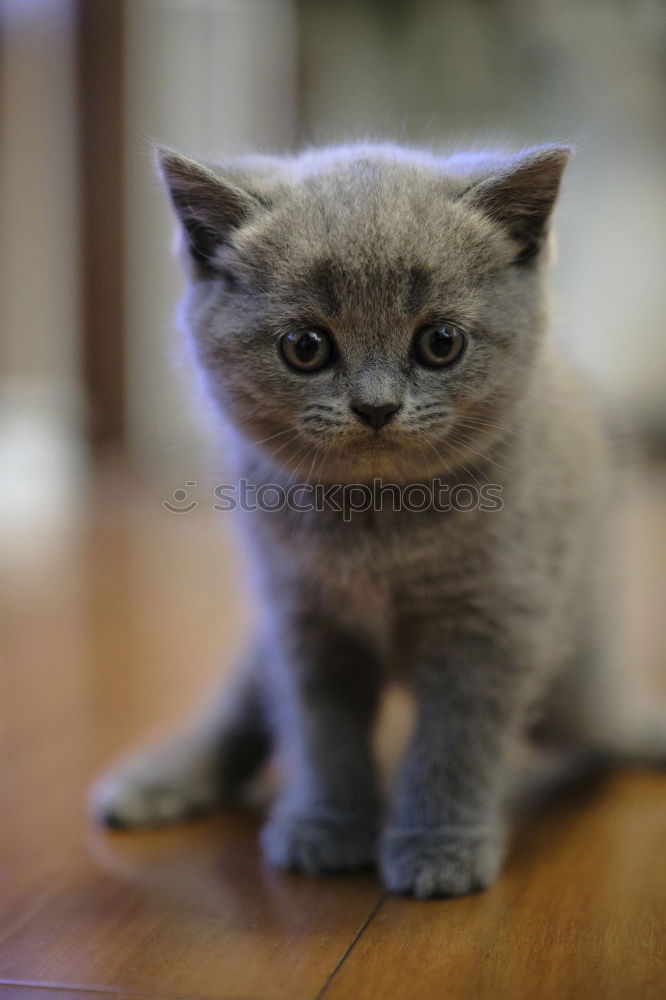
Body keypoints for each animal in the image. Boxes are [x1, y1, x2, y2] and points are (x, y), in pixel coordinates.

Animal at [91, 145, 660, 904]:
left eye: (440, 342)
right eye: (305, 346)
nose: (376, 406)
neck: (377, 529)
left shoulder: (495, 625)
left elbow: (455, 742)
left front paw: (439, 846)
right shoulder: (303, 621)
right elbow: (320, 729)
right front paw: (327, 826)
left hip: (575, 668)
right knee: (244, 701)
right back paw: (160, 779)